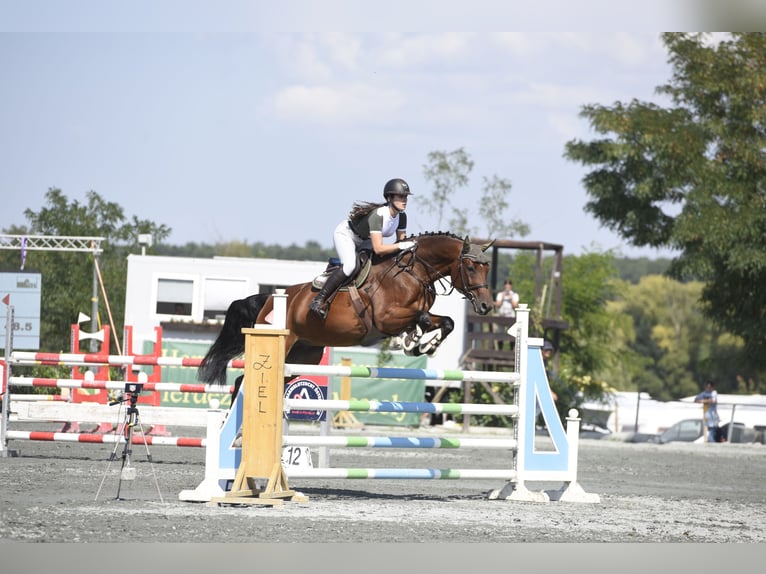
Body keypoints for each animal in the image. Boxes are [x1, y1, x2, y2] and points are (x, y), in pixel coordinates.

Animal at [198, 233, 496, 388]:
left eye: (487, 268)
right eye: (471, 268)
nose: (485, 306)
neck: (414, 272)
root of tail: (270, 298)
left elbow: (446, 322)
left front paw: (425, 345)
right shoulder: (386, 319)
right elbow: (420, 319)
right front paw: (415, 342)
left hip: (304, 355)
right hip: (283, 345)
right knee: (243, 381)